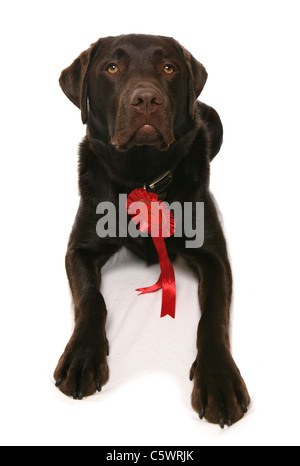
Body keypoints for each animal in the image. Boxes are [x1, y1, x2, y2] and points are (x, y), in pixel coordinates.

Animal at [54, 34, 251, 428]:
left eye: (169, 67)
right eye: (112, 67)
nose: (146, 99)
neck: (141, 175)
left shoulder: (215, 256)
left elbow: (214, 317)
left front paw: (219, 379)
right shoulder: (78, 249)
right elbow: (90, 299)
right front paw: (83, 356)